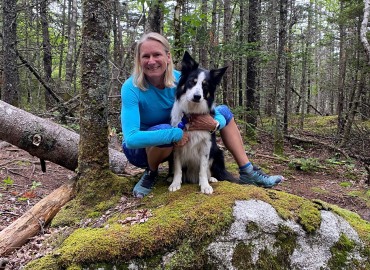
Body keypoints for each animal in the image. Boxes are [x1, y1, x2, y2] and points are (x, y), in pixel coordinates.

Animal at [169, 51, 236, 194]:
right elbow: (177, 168)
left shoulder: (206, 145)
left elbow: (203, 169)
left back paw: (212, 178)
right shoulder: (177, 145)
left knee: (210, 170)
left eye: (205, 85)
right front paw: (175, 183)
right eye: (191, 82)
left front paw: (205, 185)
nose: (197, 96)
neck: (191, 114)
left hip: (218, 153)